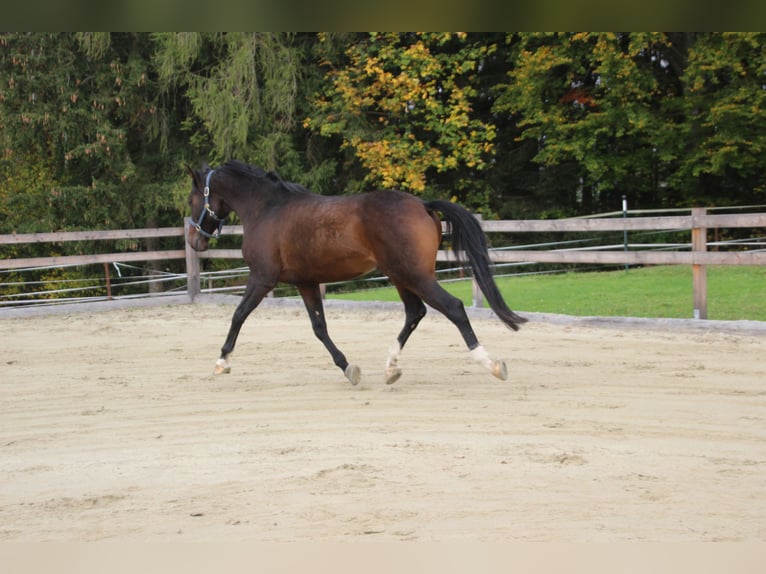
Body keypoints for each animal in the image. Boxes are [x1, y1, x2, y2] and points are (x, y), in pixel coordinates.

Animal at [184, 161, 528, 388]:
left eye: (192, 198)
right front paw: (349, 368)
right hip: (401, 276)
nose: (195, 241)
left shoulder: (261, 278)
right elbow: (320, 328)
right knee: (415, 313)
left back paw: (492, 364)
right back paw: (390, 368)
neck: (267, 209)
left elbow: (238, 315)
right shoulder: (306, 283)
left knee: (452, 308)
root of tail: (423, 204)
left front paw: (221, 363)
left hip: (414, 275)